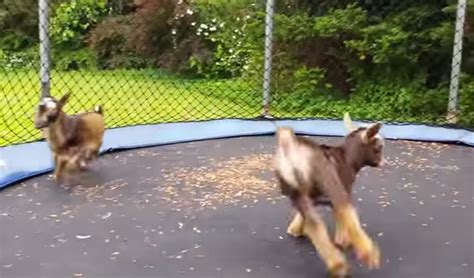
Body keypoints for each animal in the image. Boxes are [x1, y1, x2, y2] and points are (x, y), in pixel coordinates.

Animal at [274, 112, 386, 276]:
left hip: (295, 191)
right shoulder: (343, 189)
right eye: (379, 147)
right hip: (330, 182)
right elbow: (344, 216)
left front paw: (295, 229)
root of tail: (290, 148)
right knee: (338, 215)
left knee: (314, 224)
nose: (383, 162)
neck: (347, 158)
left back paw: (335, 263)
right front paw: (343, 241)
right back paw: (361, 256)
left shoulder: (311, 196)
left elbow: (303, 216)